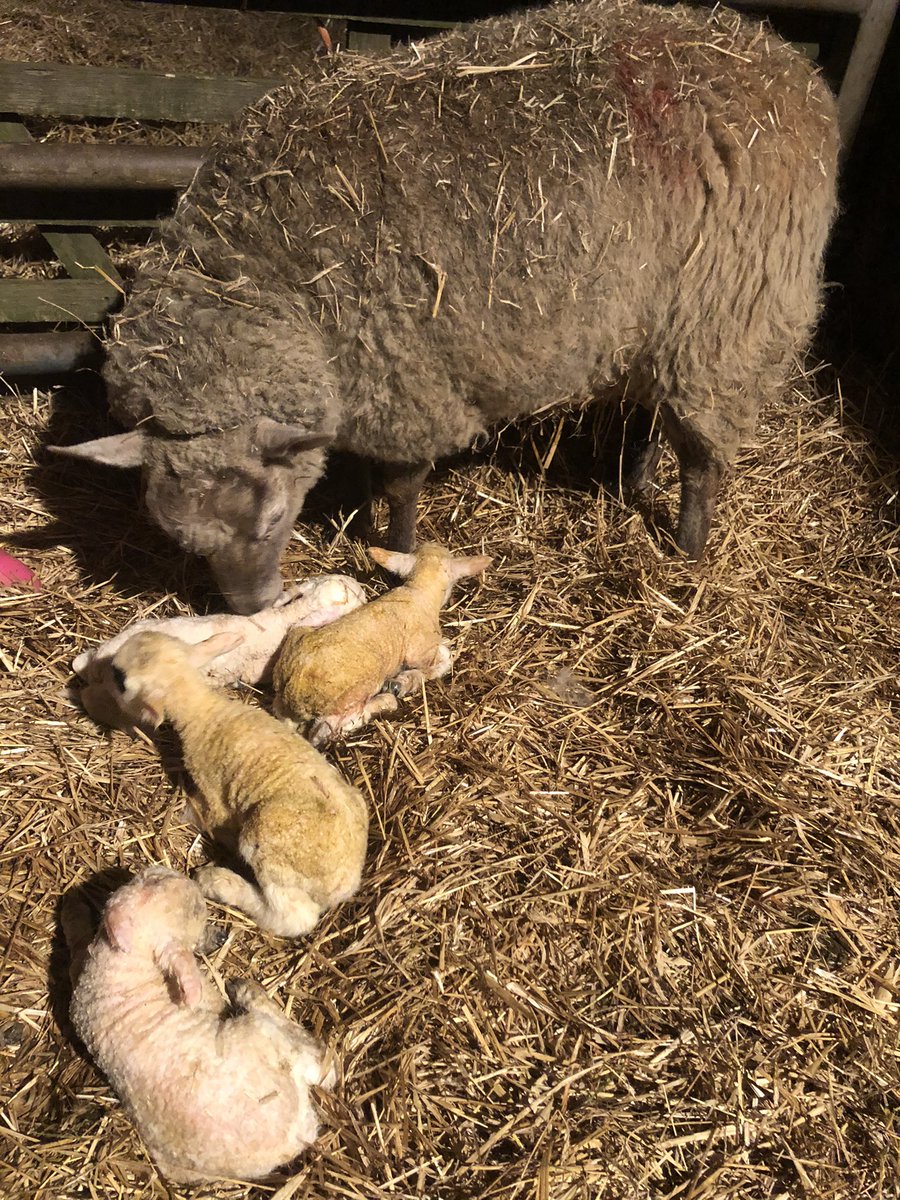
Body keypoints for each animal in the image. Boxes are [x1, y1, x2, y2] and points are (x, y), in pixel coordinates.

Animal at [50, 0, 839, 612]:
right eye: (180, 538)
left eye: (273, 516)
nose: (253, 608)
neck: (266, 277)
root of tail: (787, 66)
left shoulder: (408, 381)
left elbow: (402, 487)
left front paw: (394, 554)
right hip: (665, 315)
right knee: (655, 405)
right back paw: (637, 478)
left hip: (732, 313)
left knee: (703, 453)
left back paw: (687, 548)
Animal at [62, 865, 331, 1184]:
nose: (219, 937)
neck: (125, 966)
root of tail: (298, 1135)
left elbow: (78, 940)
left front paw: (71, 907)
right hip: (264, 1035)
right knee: (322, 1065)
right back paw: (247, 991)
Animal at [108, 631, 369, 937]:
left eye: (120, 680)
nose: (109, 665)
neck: (204, 712)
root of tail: (345, 884)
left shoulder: (211, 794)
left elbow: (199, 814)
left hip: (268, 840)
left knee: (292, 917)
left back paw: (218, 881)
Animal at [273, 543, 490, 744]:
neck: (418, 592)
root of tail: (295, 686)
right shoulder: (420, 651)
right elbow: (445, 658)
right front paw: (406, 681)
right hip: (351, 699)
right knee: (329, 731)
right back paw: (386, 700)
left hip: (298, 643)